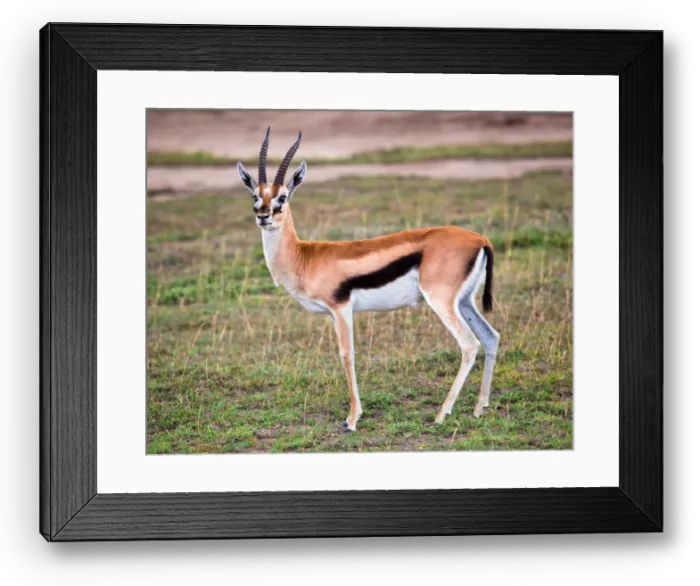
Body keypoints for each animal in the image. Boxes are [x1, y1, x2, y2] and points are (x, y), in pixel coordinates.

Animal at [236, 128, 500, 432]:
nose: (263, 216)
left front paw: (352, 419)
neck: (304, 257)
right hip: (465, 301)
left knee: (469, 344)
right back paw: (479, 408)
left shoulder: (341, 308)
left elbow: (347, 355)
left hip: (442, 301)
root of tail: (480, 239)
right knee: (491, 336)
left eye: (283, 197)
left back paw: (442, 413)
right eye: (255, 196)